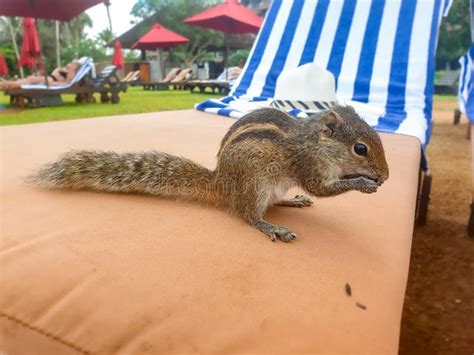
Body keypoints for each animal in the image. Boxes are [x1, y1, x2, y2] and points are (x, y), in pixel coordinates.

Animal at [30, 105, 388, 243]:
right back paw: (271, 226)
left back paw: (291, 202)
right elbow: (321, 188)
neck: (314, 140)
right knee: (248, 215)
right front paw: (363, 183)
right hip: (255, 185)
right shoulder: (309, 164)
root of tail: (221, 184)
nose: (384, 176)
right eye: (360, 148)